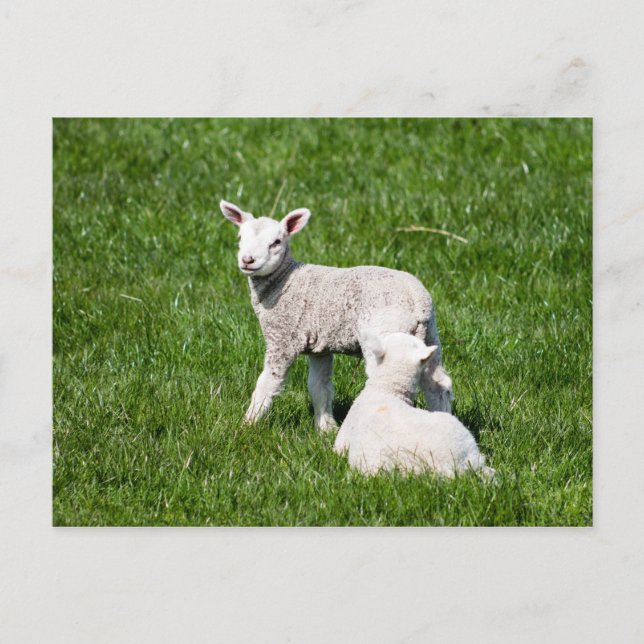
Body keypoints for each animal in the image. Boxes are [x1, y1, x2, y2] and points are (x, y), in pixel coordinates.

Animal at [219, 199, 453, 431]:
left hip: (386, 331)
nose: (247, 260)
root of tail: (418, 301)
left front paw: (246, 424)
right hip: (430, 335)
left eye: (276, 242)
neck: (283, 281)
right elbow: (319, 386)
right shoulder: (318, 346)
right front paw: (326, 428)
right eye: (240, 238)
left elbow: (267, 383)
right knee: (438, 384)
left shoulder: (283, 339)